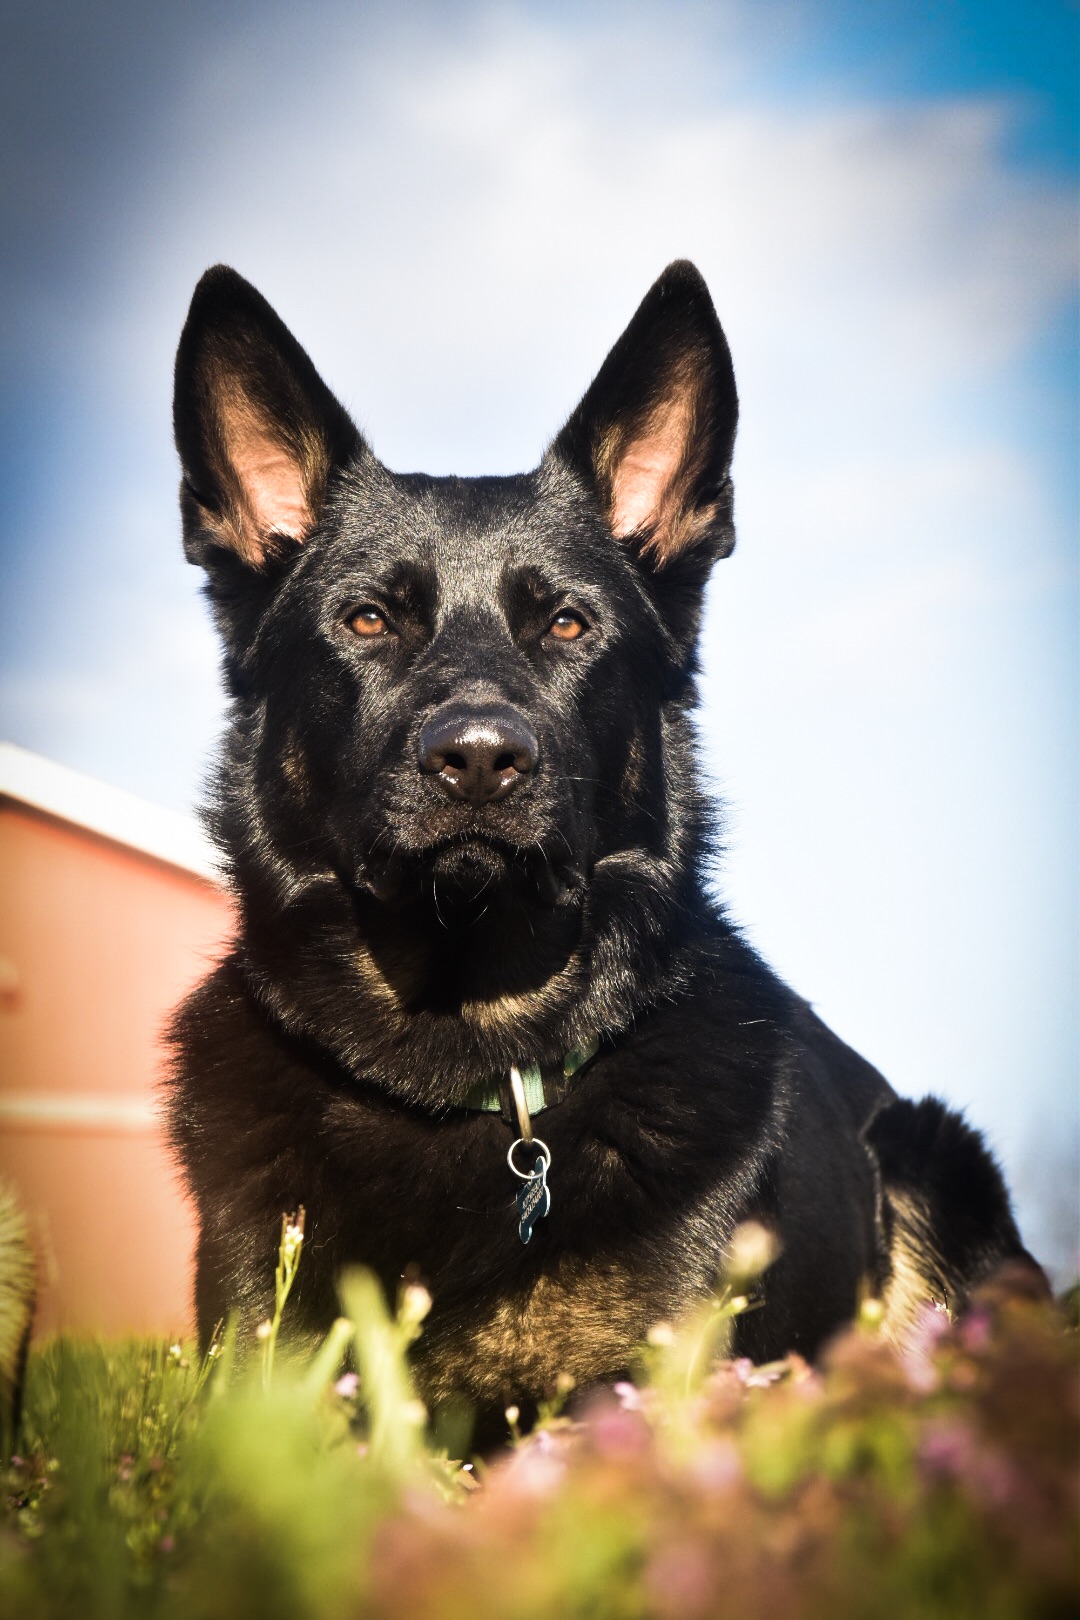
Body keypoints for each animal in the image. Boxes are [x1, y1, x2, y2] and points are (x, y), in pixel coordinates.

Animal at [166, 261, 1042, 1431]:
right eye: (367, 622)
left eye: (569, 626)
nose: (478, 758)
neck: (467, 1054)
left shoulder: (652, 1396)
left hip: (929, 1159)